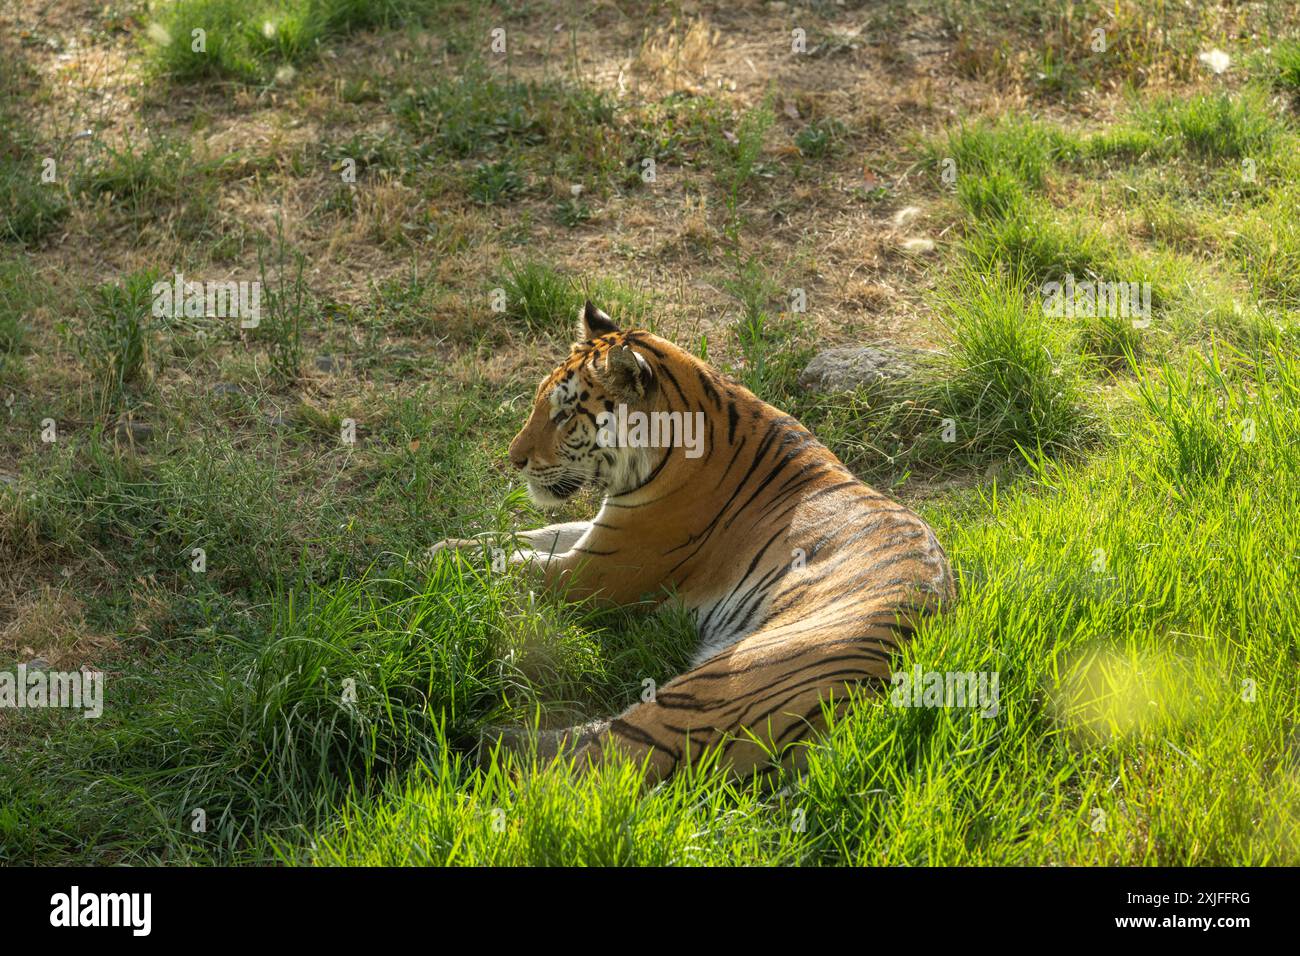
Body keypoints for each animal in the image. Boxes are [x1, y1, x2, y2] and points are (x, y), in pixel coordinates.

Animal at [434, 301, 956, 782]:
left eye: (564, 415)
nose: (514, 459)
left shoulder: (599, 570)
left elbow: (515, 561)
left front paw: (434, 563)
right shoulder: (603, 532)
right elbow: (527, 536)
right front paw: (452, 544)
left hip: (726, 679)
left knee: (598, 767)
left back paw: (479, 757)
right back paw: (482, 734)